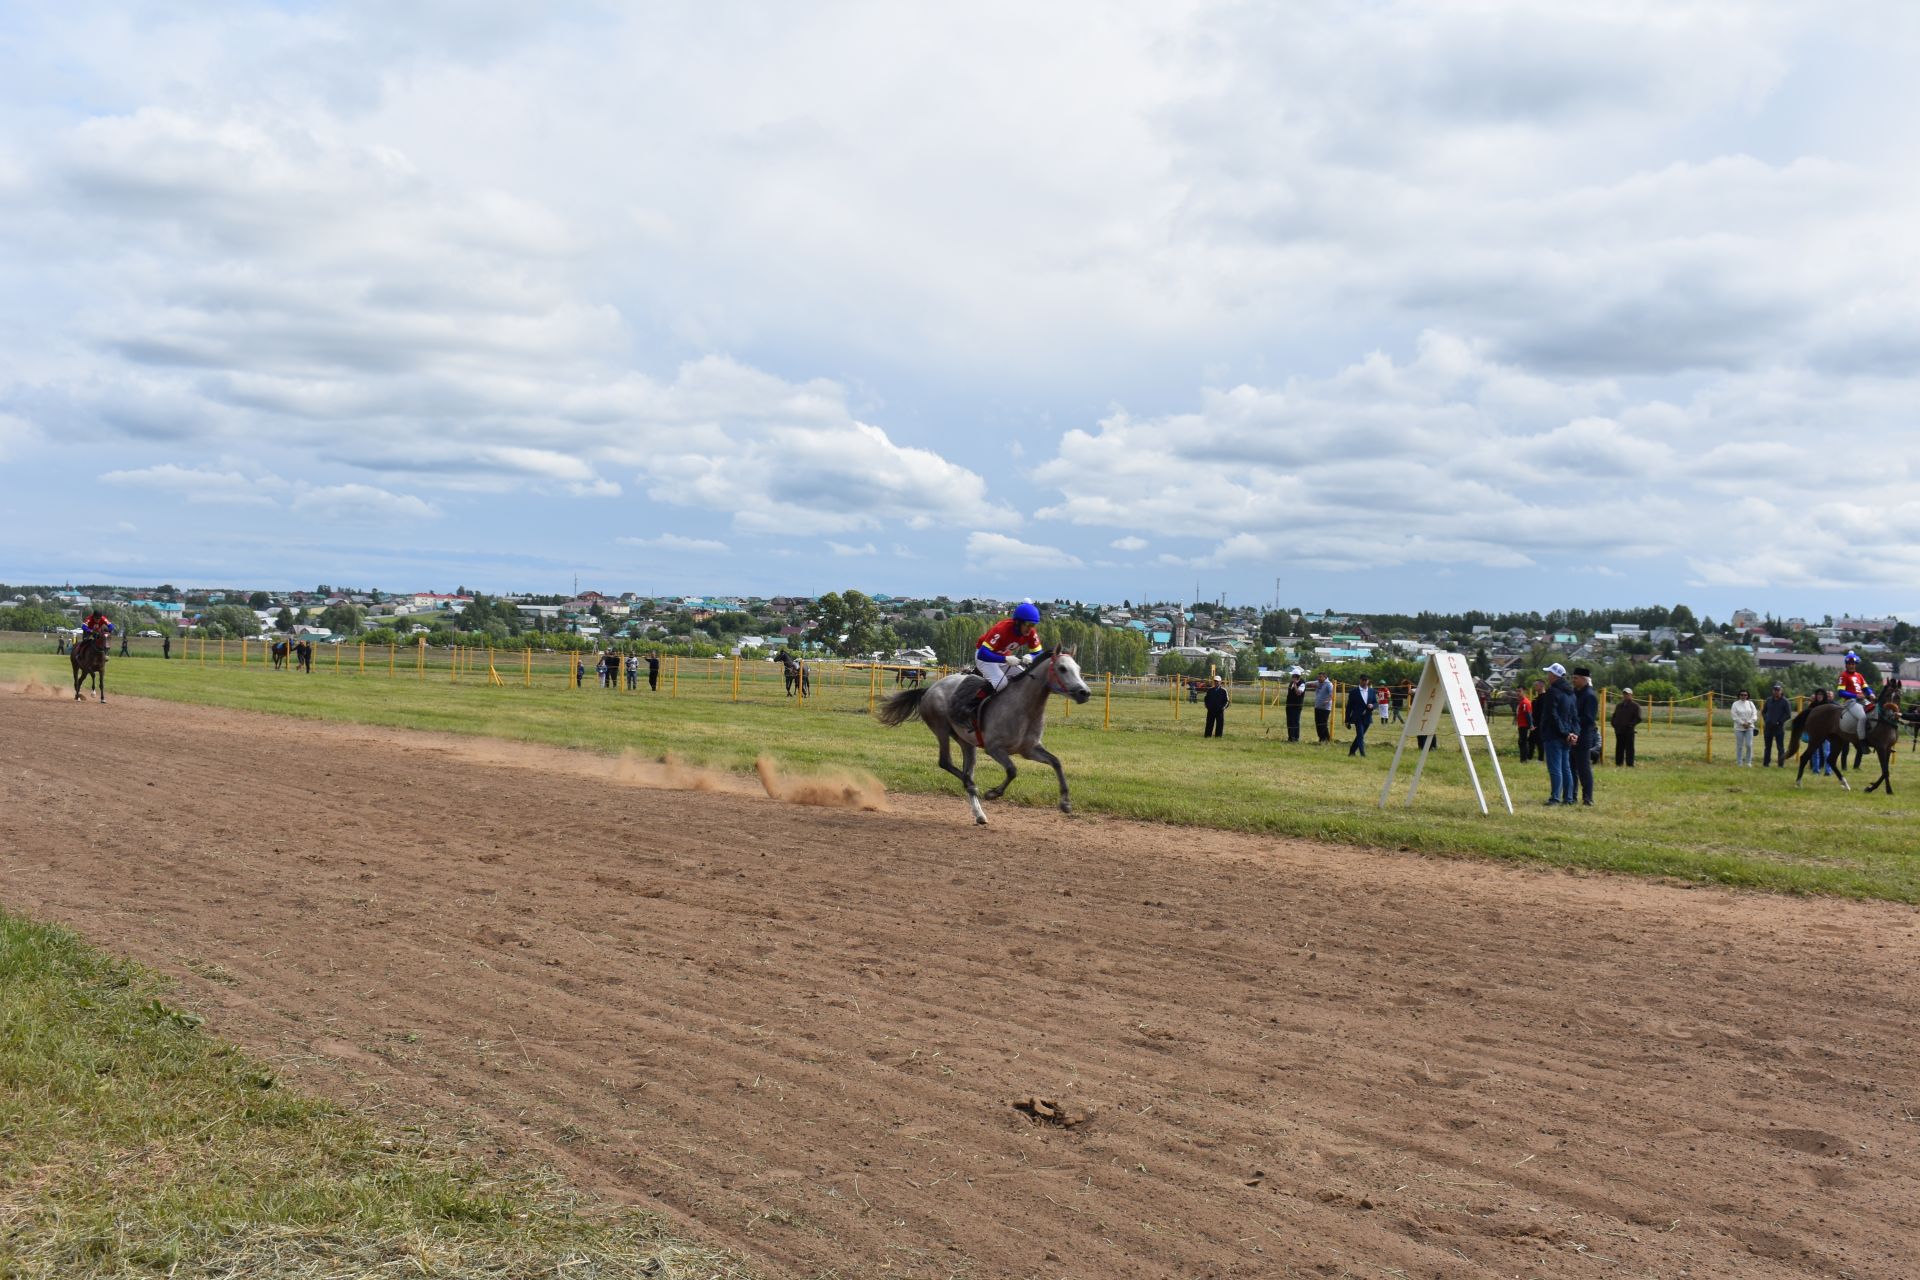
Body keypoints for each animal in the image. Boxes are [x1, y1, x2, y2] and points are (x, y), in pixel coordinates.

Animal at [875, 644, 1090, 825]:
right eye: (1062, 668)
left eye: (1078, 669)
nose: (1084, 692)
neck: (1024, 707)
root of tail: (930, 688)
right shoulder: (994, 748)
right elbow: (1012, 770)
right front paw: (993, 793)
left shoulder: (1030, 749)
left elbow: (1056, 762)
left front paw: (1065, 803)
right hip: (941, 728)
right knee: (946, 763)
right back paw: (972, 787)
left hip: (966, 742)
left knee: (966, 770)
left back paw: (979, 813)